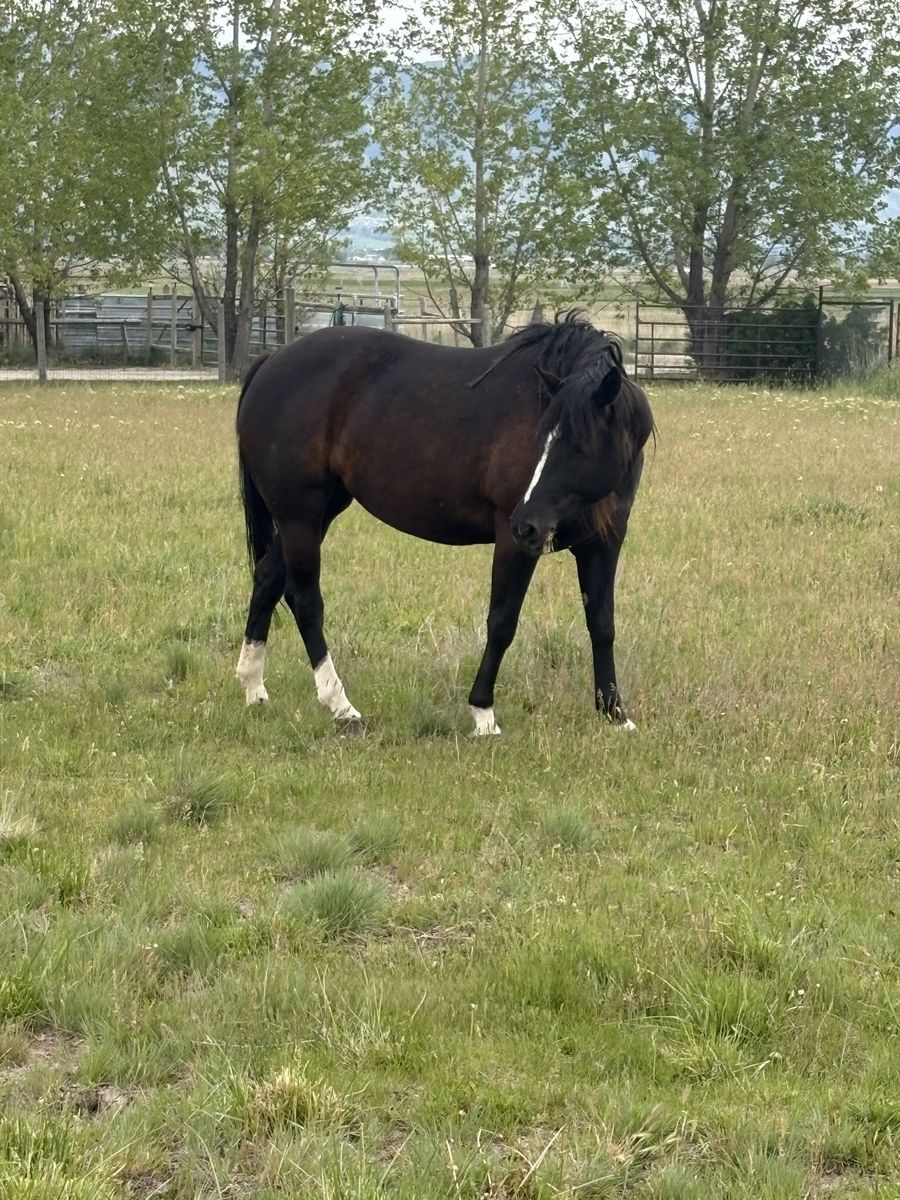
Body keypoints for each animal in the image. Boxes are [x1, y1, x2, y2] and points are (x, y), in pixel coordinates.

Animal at [234, 313, 655, 736]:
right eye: (541, 440)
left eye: (578, 446)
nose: (526, 524)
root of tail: (271, 362)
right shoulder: (513, 544)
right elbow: (502, 622)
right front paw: (483, 714)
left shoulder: (603, 544)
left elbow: (602, 623)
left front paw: (615, 713)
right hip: (300, 516)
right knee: (305, 599)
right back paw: (341, 706)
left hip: (316, 513)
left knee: (268, 579)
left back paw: (254, 689)